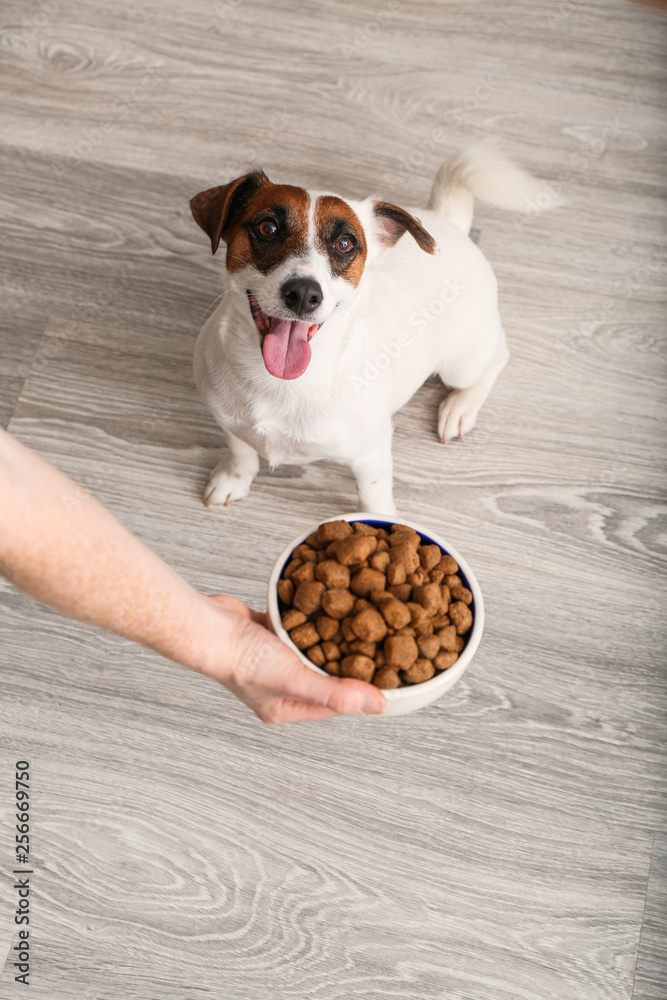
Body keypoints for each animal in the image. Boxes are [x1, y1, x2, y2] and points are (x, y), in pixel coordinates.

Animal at [190, 144, 544, 516]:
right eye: (268, 227)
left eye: (345, 244)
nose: (303, 293)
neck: (283, 383)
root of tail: (449, 222)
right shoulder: (229, 422)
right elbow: (240, 452)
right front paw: (233, 478)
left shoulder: (371, 453)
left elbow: (372, 497)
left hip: (463, 363)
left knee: (497, 358)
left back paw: (460, 408)